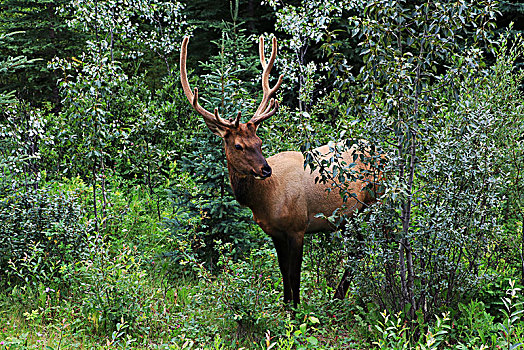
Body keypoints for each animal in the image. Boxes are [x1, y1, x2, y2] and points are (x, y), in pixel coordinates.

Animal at [180, 35, 380, 308]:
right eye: (238, 145)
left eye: (260, 142)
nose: (265, 170)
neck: (264, 199)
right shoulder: (274, 232)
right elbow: (284, 272)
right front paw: (285, 308)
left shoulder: (298, 226)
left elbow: (295, 275)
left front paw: (296, 310)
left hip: (373, 203)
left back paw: (340, 296)